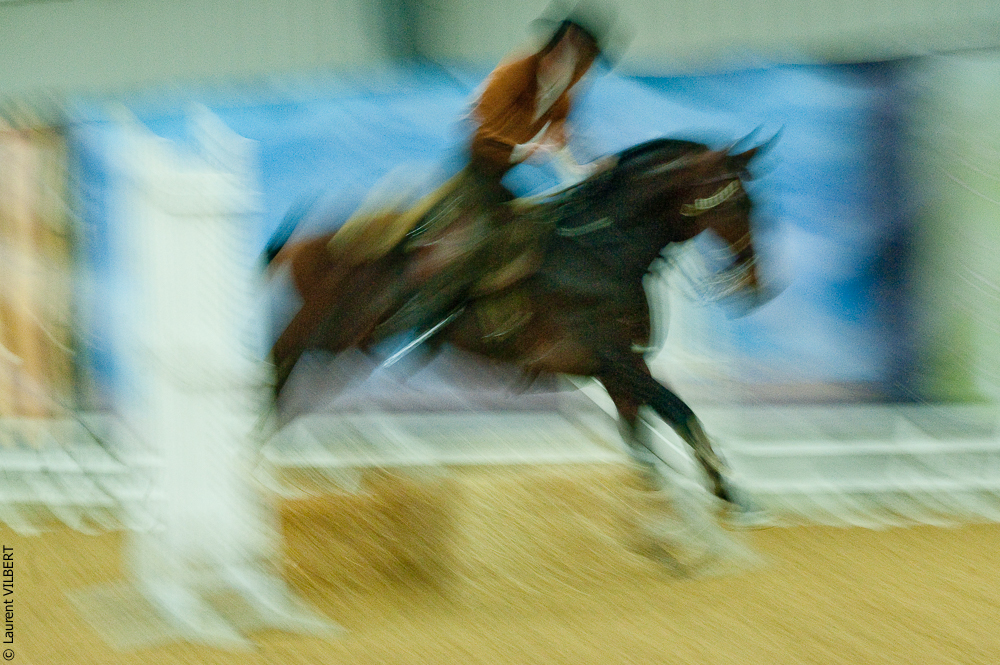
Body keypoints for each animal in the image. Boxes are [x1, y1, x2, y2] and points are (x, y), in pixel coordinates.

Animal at [267, 137, 771, 542]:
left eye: (753, 203)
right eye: (737, 203)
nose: (754, 283)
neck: (603, 251)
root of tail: (311, 239)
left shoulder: (622, 370)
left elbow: (643, 439)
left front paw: (667, 533)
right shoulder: (614, 363)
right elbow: (679, 413)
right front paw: (727, 494)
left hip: (340, 349)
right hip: (323, 335)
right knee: (272, 374)